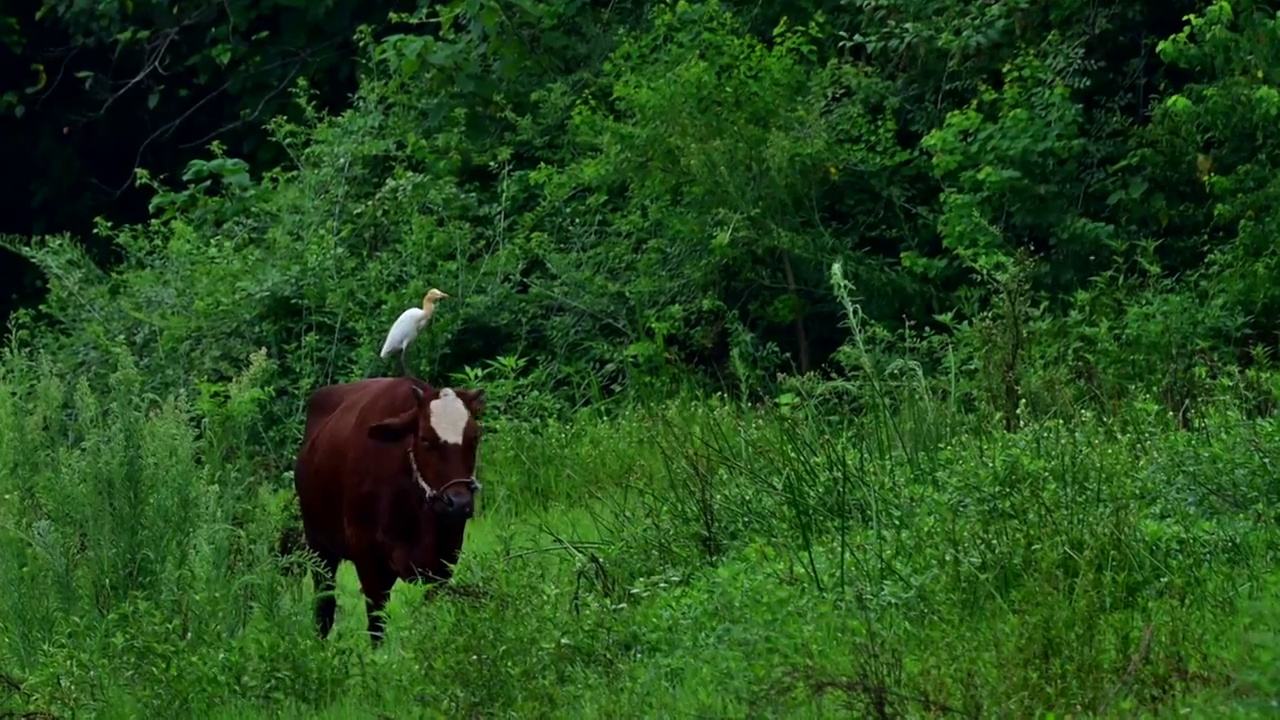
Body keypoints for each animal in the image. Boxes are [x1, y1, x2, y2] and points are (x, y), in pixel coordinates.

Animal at [293, 376, 486, 638]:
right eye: (425, 438)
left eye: (475, 437)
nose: (459, 504)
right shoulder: (369, 557)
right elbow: (376, 623)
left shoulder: (445, 559)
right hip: (319, 548)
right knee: (325, 607)